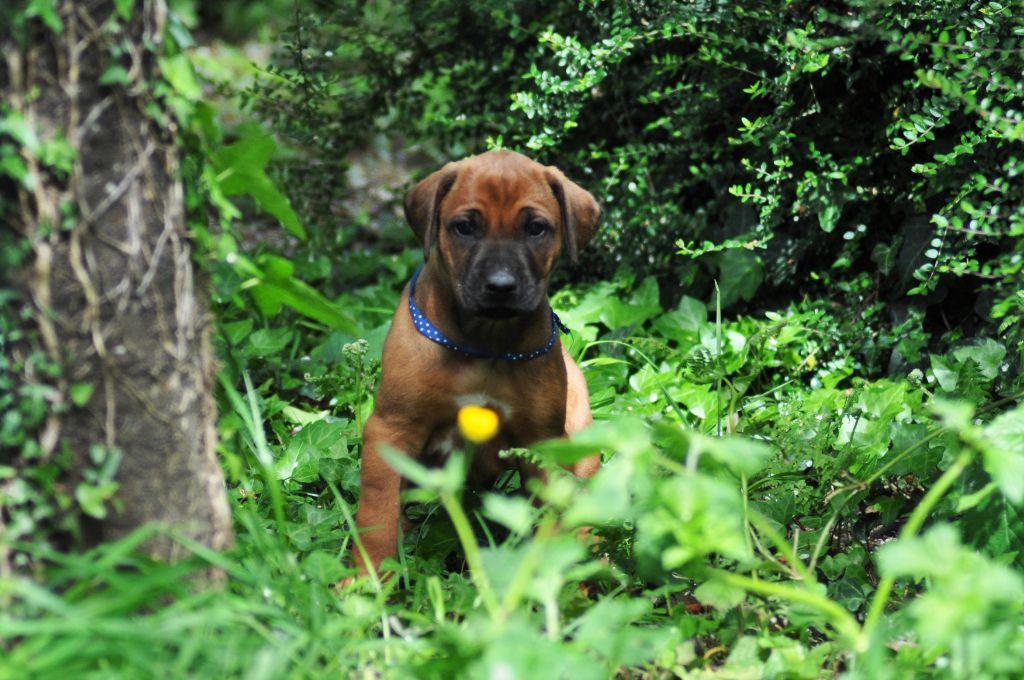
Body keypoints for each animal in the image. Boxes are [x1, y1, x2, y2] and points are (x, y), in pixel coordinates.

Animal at [356, 150, 602, 573]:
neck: (485, 343)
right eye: (465, 227)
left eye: (536, 228)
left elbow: (552, 523)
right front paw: (366, 580)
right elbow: (377, 514)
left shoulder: (543, 443)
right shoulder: (390, 430)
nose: (501, 286)